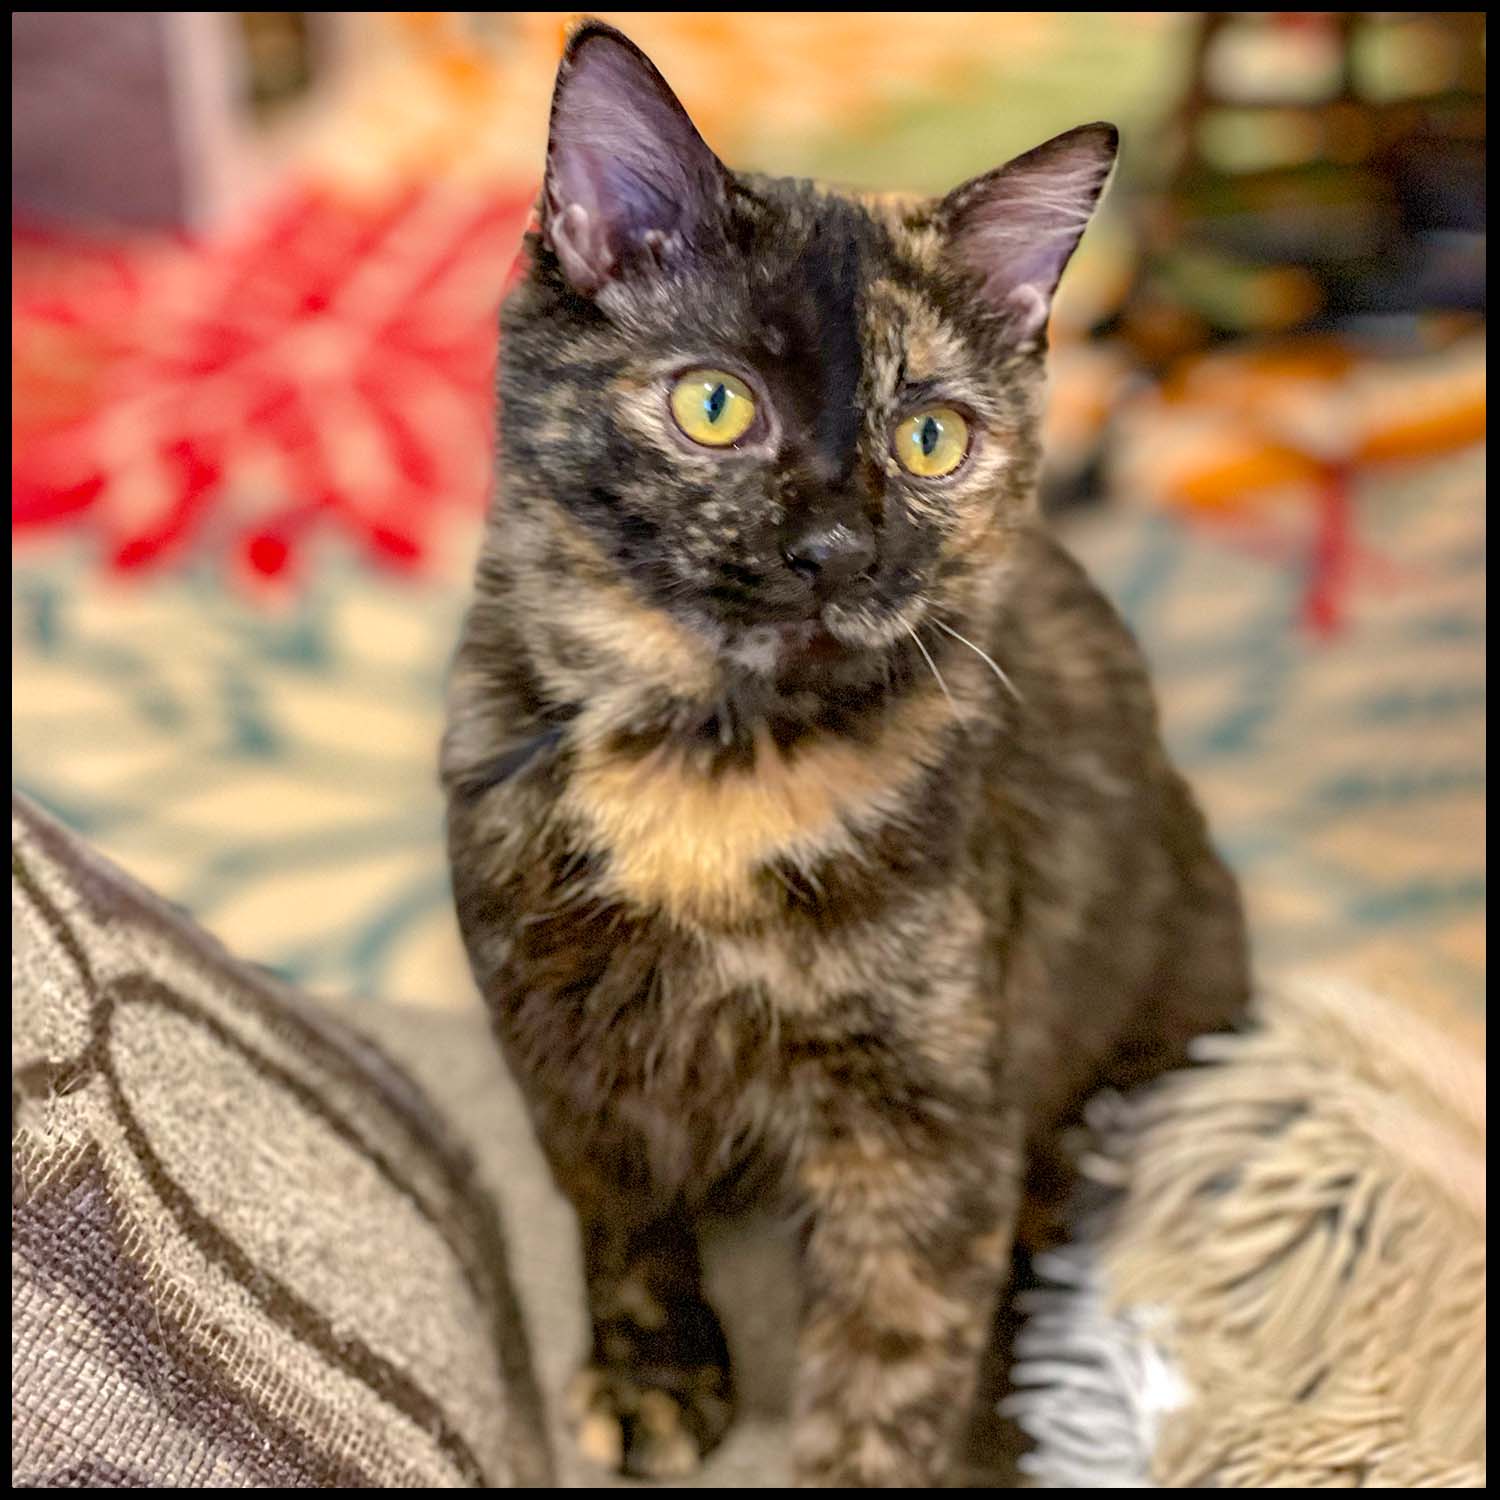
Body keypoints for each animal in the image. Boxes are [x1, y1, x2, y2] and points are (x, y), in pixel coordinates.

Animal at [442, 18, 1249, 1488]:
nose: (834, 548)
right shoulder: (558, 1048)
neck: (713, 764)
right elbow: (621, 1222)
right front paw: (652, 1380)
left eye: (931, 436)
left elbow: (890, 1363)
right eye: (716, 406)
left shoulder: (926, 1135)